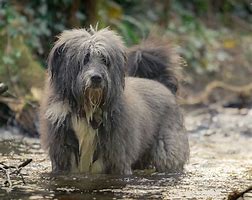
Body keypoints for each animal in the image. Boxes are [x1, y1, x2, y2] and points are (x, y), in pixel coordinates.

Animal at [39, 27, 189, 175]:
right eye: (84, 59)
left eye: (105, 60)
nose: (96, 78)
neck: (87, 111)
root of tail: (163, 86)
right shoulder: (62, 157)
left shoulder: (118, 159)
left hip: (167, 150)